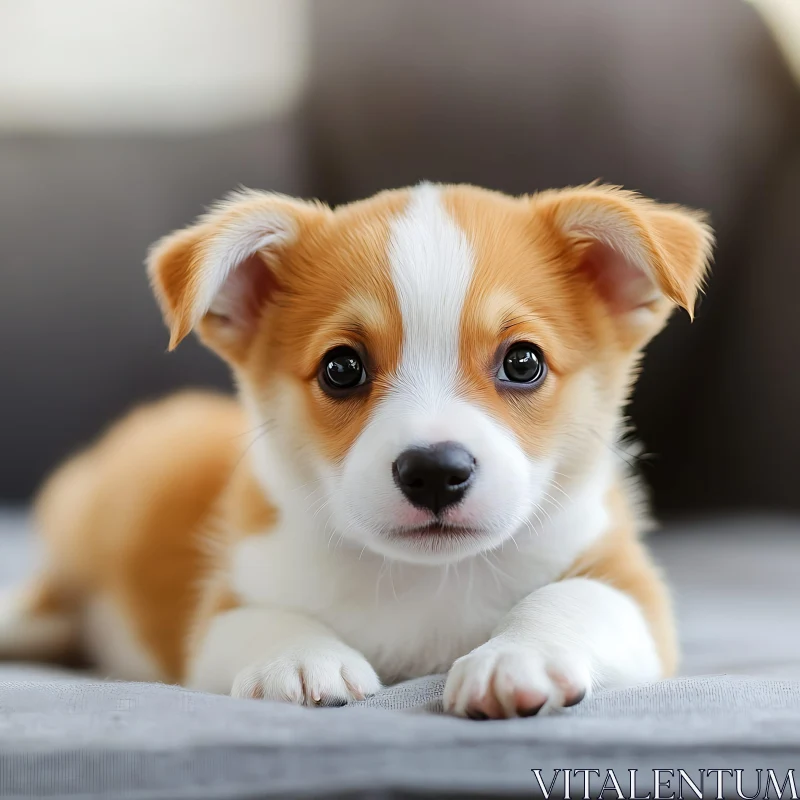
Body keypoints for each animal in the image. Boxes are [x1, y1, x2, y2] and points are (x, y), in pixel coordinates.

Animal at [0, 186, 712, 720]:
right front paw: (298, 657)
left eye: (524, 362)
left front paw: (515, 657)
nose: (435, 472)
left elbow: (573, 599)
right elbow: (263, 619)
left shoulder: (629, 587)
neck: (426, 582)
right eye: (342, 368)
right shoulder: (224, 608)